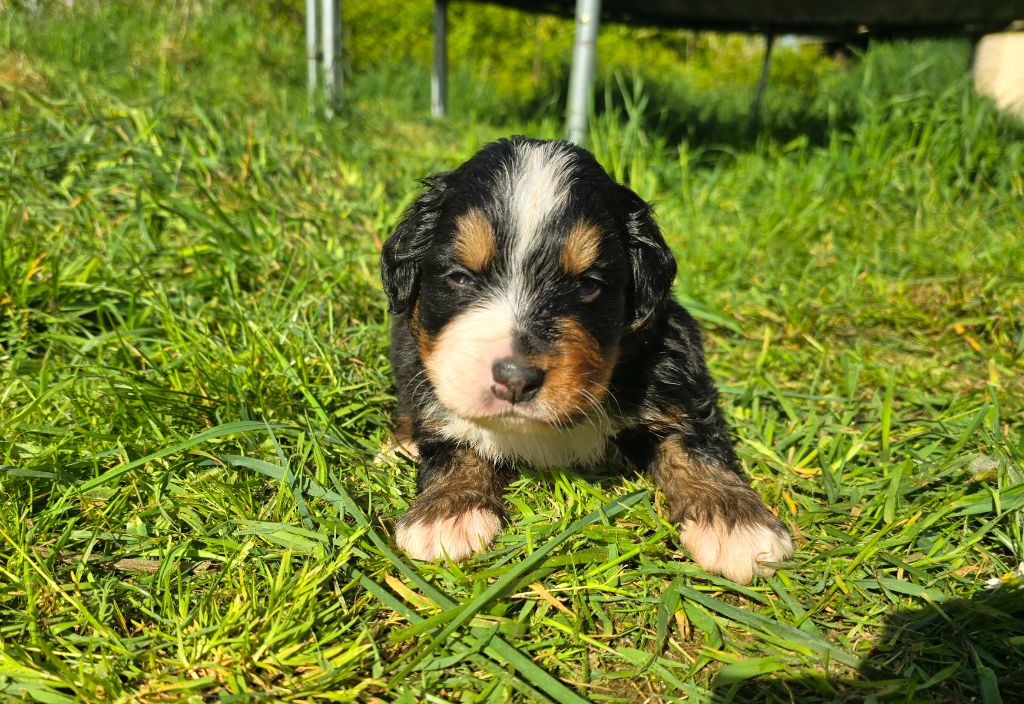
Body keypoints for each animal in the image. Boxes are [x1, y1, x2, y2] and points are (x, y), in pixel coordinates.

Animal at [380, 137, 793, 584]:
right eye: (459, 277)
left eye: (588, 285)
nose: (515, 378)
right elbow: (450, 434)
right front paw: (448, 511)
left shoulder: (671, 361)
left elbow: (693, 439)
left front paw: (734, 520)